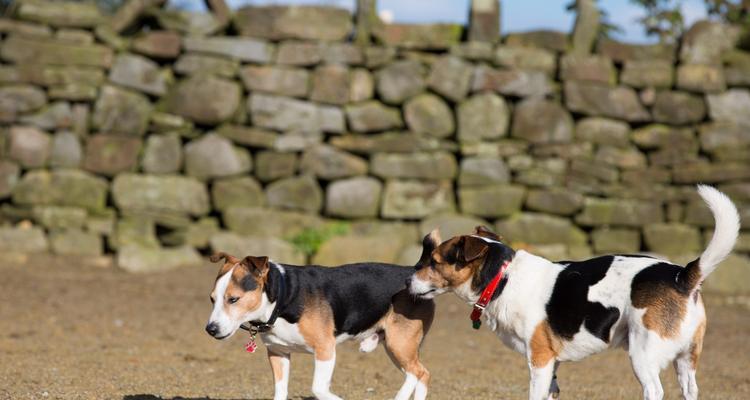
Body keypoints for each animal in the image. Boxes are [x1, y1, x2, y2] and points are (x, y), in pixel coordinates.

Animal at [207, 253, 434, 400]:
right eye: (212, 300)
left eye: (233, 299)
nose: (210, 329)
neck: (283, 297)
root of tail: (413, 275)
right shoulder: (278, 353)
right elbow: (280, 391)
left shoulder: (325, 349)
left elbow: (318, 389)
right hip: (397, 348)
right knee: (421, 374)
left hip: (399, 344)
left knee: (417, 373)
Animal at [408, 185, 744, 400]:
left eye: (434, 261)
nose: (407, 281)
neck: (502, 278)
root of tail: (682, 276)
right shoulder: (552, 368)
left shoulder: (540, 362)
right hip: (687, 360)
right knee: (690, 390)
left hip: (643, 354)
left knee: (654, 390)